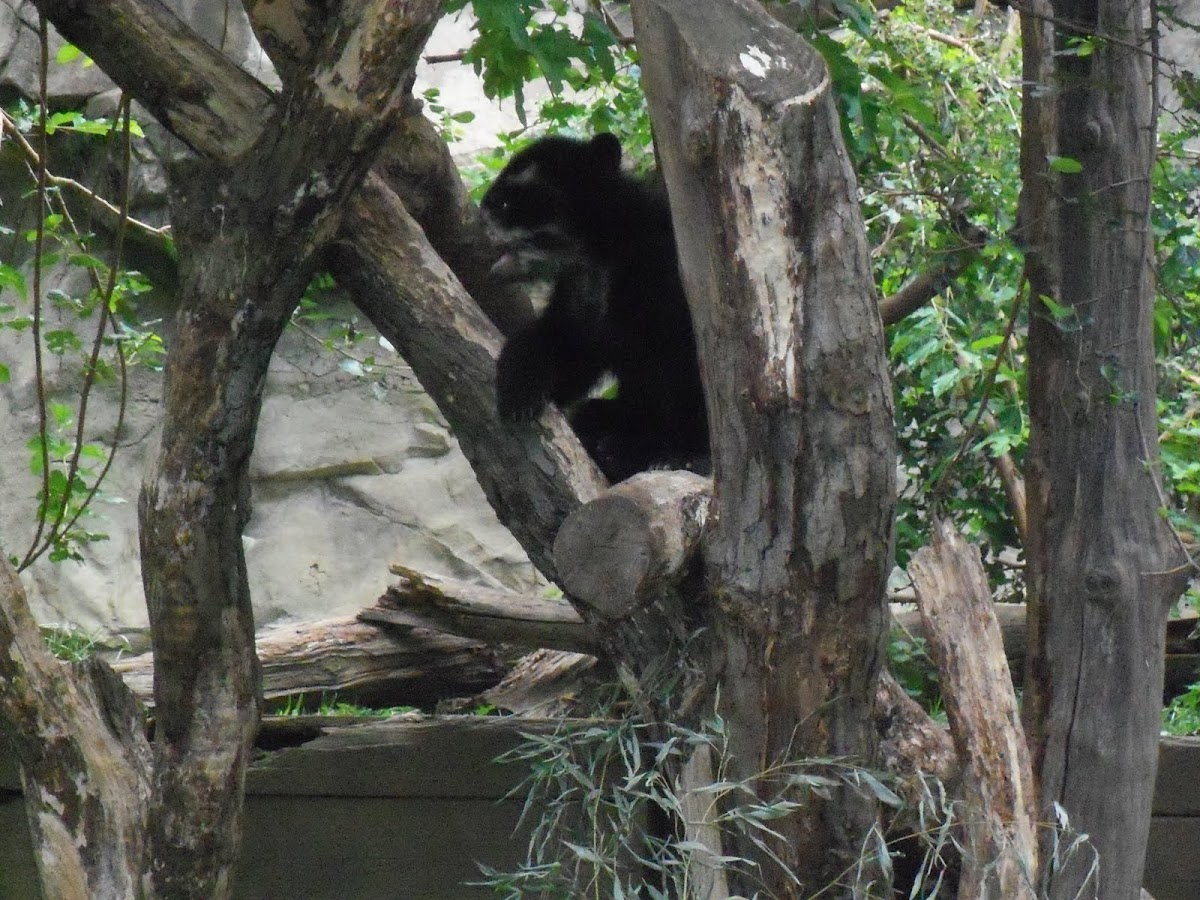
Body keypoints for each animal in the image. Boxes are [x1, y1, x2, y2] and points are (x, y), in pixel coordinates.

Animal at [477, 132, 705, 487]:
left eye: (507, 200)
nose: (481, 209)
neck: (601, 250)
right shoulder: (582, 291)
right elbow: (567, 345)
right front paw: (519, 390)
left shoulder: (663, 273)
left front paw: (686, 456)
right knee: (592, 413)